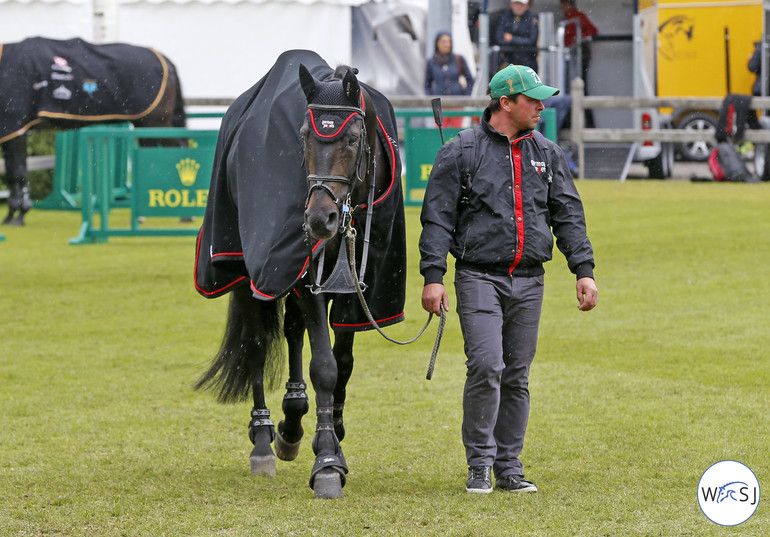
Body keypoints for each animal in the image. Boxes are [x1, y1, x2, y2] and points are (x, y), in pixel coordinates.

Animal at [0, 35, 186, 224]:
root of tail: (165, 60)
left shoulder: (15, 129)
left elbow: (17, 173)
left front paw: (18, 215)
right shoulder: (9, 132)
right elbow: (12, 172)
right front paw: (11, 215)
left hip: (158, 123)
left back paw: (185, 216)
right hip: (145, 125)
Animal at [195, 50, 404, 498]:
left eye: (352, 138)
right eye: (305, 135)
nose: (319, 219)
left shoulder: (358, 285)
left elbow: (342, 361)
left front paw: (333, 434)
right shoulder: (311, 277)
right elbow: (323, 364)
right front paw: (326, 461)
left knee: (291, 330)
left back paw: (292, 421)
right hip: (244, 266)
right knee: (256, 343)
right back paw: (263, 439)